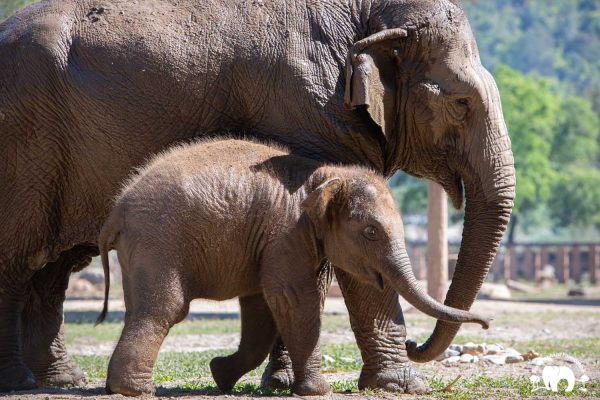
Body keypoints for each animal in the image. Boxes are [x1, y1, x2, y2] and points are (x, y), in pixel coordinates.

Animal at [95, 139, 488, 396]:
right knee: (165, 308)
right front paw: (318, 390)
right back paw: (135, 390)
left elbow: (262, 305)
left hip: (141, 249)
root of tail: (115, 212)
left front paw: (220, 374)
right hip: (158, 242)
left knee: (140, 306)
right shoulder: (285, 232)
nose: (486, 324)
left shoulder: (267, 242)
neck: (327, 175)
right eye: (371, 232)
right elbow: (292, 298)